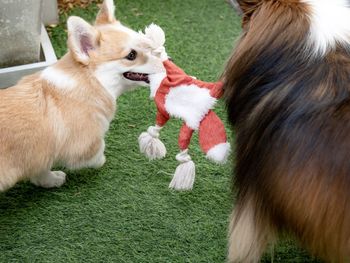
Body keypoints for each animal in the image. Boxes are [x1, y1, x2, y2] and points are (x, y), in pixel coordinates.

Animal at [0, 0, 164, 193]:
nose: (165, 63)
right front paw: (101, 160)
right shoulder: (84, 144)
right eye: (131, 55)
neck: (89, 81)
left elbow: (41, 171)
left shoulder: (38, 157)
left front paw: (51, 180)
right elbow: (98, 149)